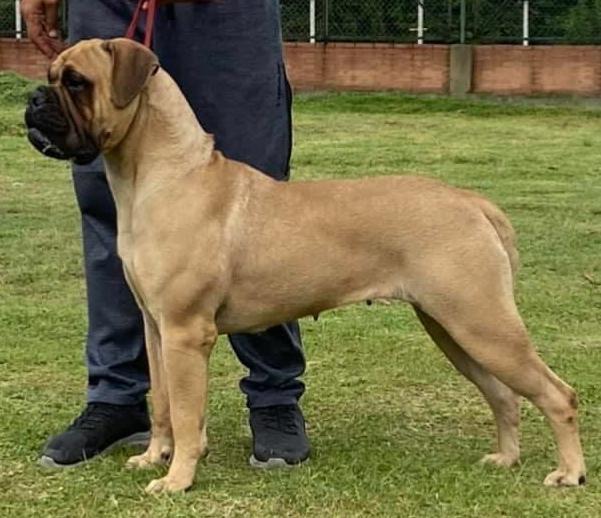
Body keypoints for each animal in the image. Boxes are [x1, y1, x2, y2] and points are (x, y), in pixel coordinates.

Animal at [25, 37, 584, 496]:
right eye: (52, 74)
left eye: (76, 82)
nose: (32, 99)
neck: (163, 174)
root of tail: (470, 201)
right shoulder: (158, 330)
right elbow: (163, 405)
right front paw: (153, 457)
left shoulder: (186, 333)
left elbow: (185, 413)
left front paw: (178, 478)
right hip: (454, 330)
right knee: (504, 396)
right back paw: (506, 458)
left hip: (483, 325)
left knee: (558, 395)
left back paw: (569, 473)